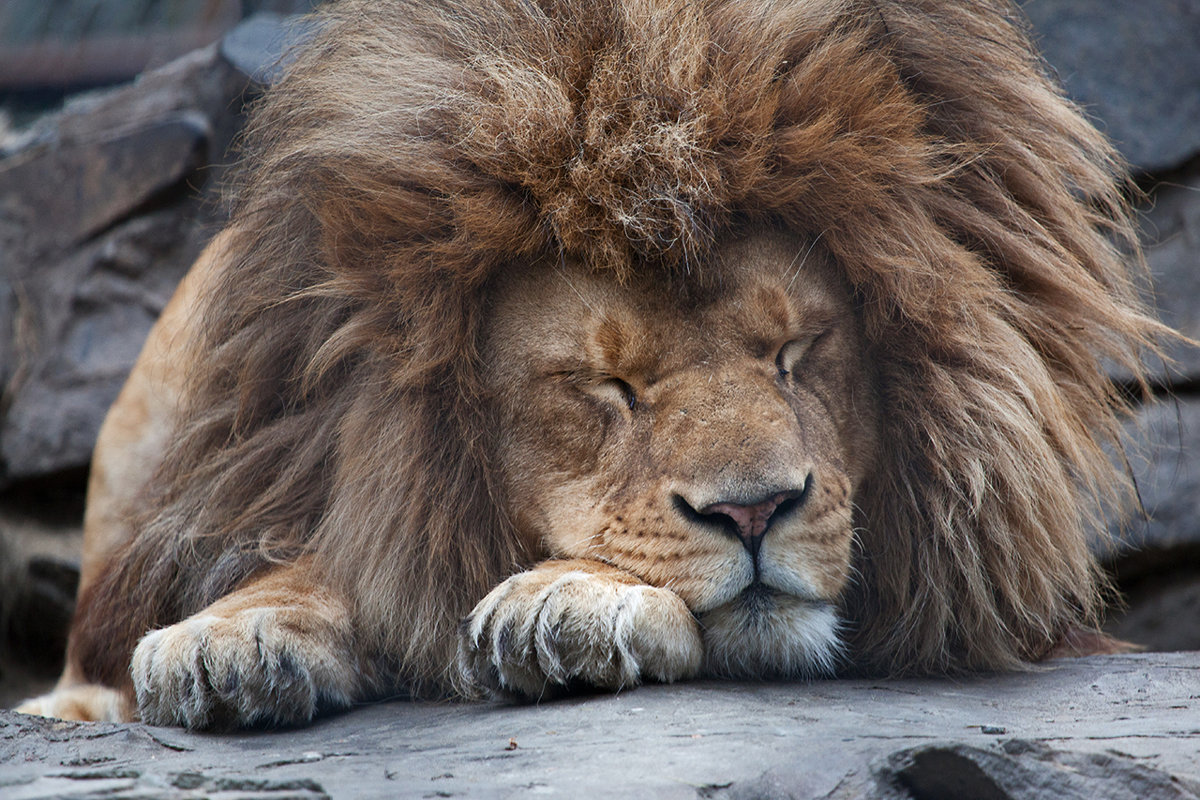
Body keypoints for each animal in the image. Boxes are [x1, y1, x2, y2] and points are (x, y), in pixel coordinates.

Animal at [16, 0, 1161, 729]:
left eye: (795, 351)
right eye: (611, 388)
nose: (755, 511)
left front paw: (569, 598)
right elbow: (330, 560)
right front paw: (236, 634)